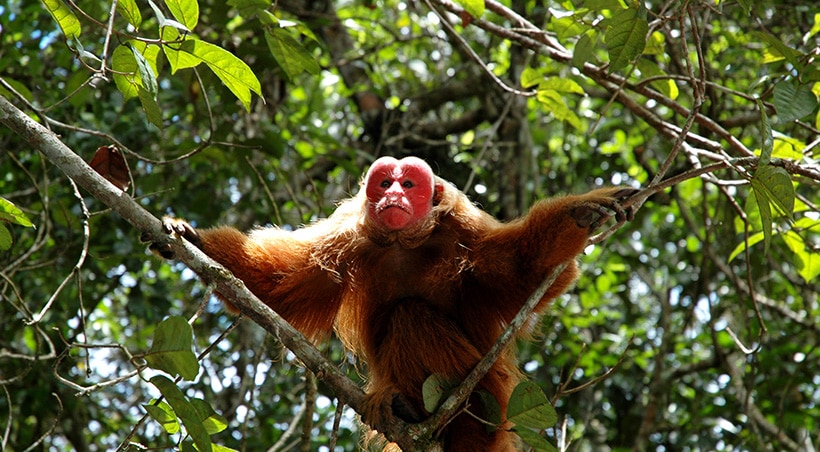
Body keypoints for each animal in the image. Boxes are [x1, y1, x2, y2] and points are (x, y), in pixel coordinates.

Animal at [146, 157, 636, 450]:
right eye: (384, 182)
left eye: (409, 183)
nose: (394, 195)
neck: (404, 242)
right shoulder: (346, 237)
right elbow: (278, 287)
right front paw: (193, 242)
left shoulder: (464, 227)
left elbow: (526, 271)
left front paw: (581, 213)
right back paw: (404, 407)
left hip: (495, 392)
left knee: (411, 316)